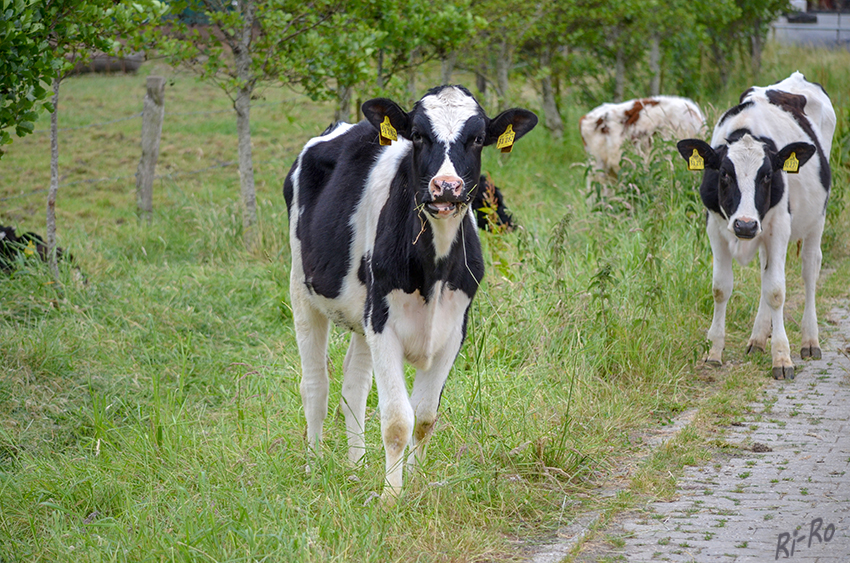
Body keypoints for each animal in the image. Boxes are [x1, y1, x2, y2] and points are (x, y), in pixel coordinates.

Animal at [284, 85, 536, 502]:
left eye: (478, 138)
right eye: (417, 135)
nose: (445, 187)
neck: (433, 271)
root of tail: (341, 127)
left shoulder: (453, 330)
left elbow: (425, 416)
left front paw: (414, 483)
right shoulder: (384, 326)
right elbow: (397, 419)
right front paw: (391, 496)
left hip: (363, 313)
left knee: (353, 386)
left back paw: (355, 468)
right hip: (303, 291)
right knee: (315, 386)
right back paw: (313, 466)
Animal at [676, 70, 836, 378]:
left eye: (767, 176)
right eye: (724, 174)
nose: (746, 226)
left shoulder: (779, 227)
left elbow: (776, 290)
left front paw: (782, 358)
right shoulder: (716, 227)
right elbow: (721, 287)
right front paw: (714, 351)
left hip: (816, 219)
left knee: (810, 270)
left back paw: (810, 340)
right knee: (766, 273)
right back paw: (758, 339)